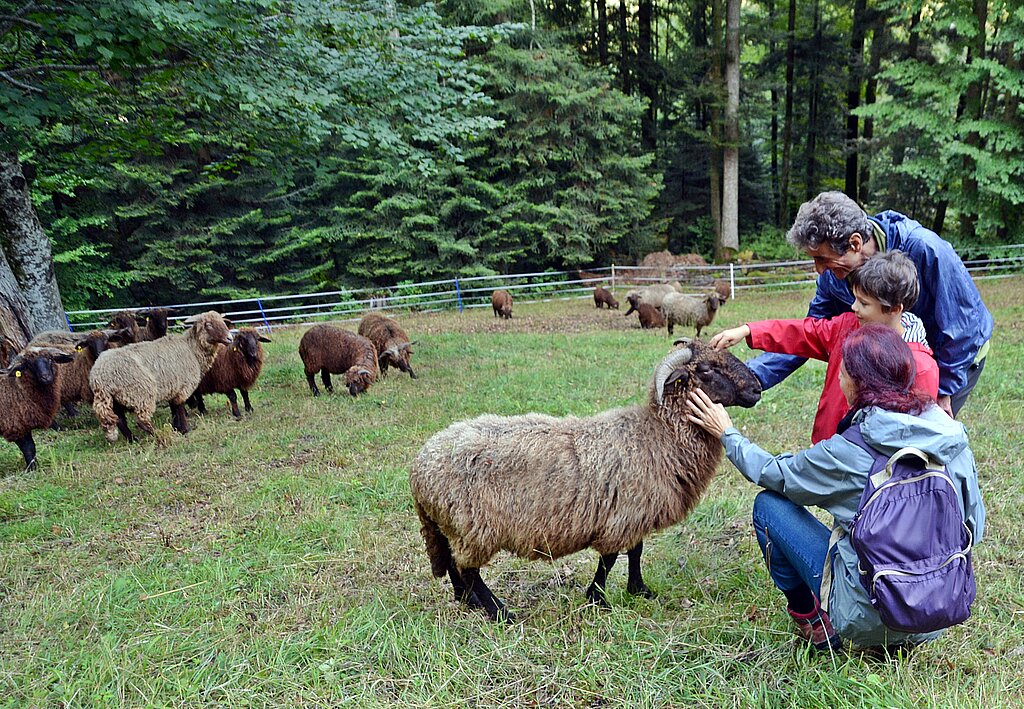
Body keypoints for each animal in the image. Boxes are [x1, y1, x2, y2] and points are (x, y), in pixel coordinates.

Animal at [90, 311, 232, 440]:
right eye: (208, 324)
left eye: (223, 321)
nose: (230, 338)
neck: (192, 348)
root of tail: (99, 376)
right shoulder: (183, 386)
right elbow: (180, 408)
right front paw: (185, 429)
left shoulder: (173, 386)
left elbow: (174, 408)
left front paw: (177, 427)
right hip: (141, 392)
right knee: (141, 421)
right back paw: (159, 434)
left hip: (115, 400)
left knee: (120, 420)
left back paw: (133, 439)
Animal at [407, 338, 761, 618]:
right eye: (707, 370)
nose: (757, 388)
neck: (657, 435)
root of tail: (420, 465)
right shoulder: (621, 516)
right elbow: (611, 558)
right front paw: (598, 599)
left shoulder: (632, 514)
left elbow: (635, 552)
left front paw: (639, 590)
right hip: (473, 526)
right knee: (468, 569)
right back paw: (499, 612)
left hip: (449, 524)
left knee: (452, 563)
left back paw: (466, 601)